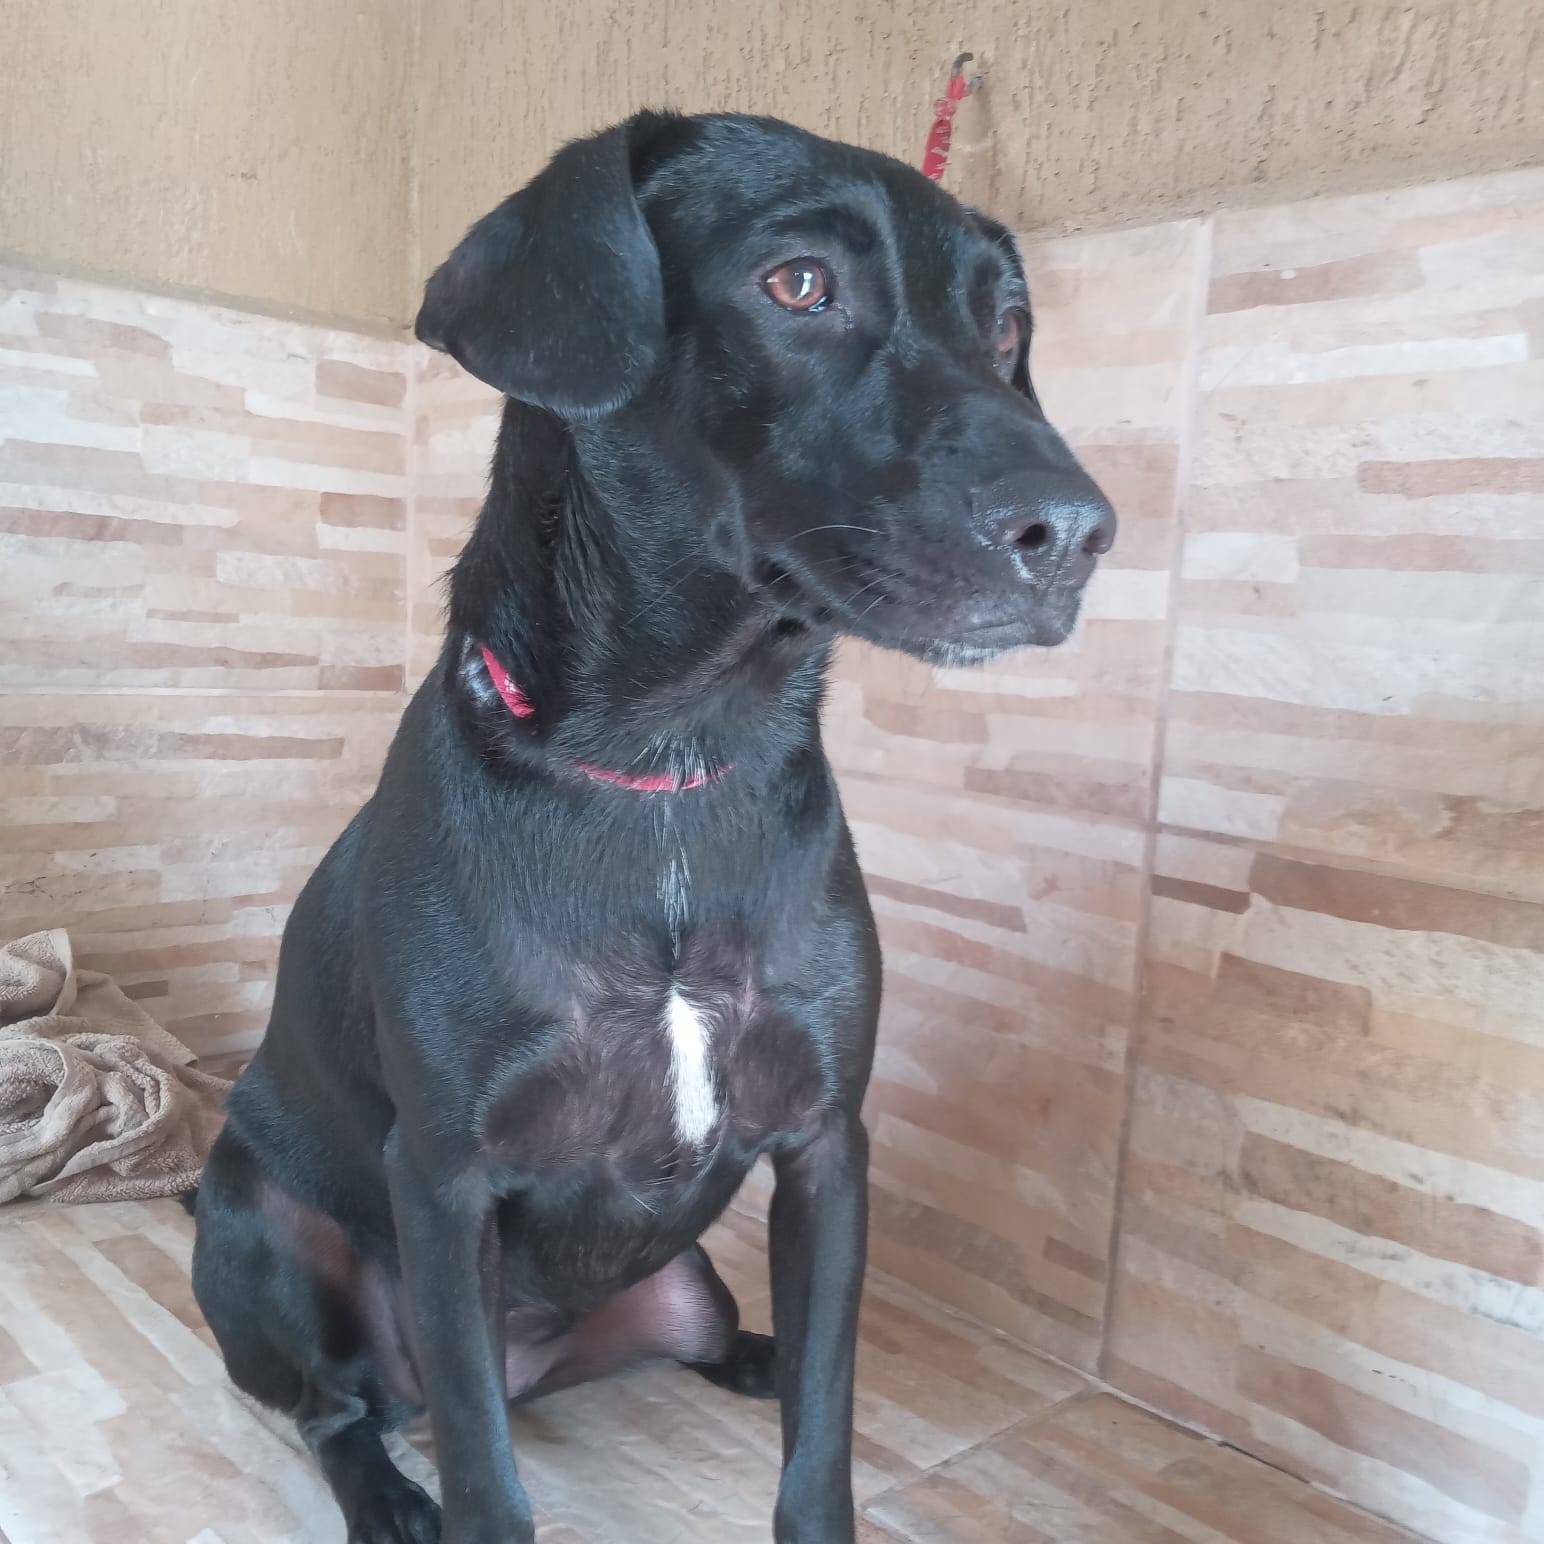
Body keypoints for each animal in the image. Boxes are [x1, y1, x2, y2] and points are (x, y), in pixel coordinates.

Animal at [190, 110, 1114, 1544]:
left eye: (1007, 324)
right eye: (797, 283)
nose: (1075, 531)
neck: (676, 760)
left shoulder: (825, 1148)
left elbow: (824, 1427)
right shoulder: (444, 1177)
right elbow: (487, 1478)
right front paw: (453, 1496)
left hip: (688, 1283)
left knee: (727, 1341)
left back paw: (746, 1359)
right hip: (256, 1229)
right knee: (341, 1406)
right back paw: (386, 1490)